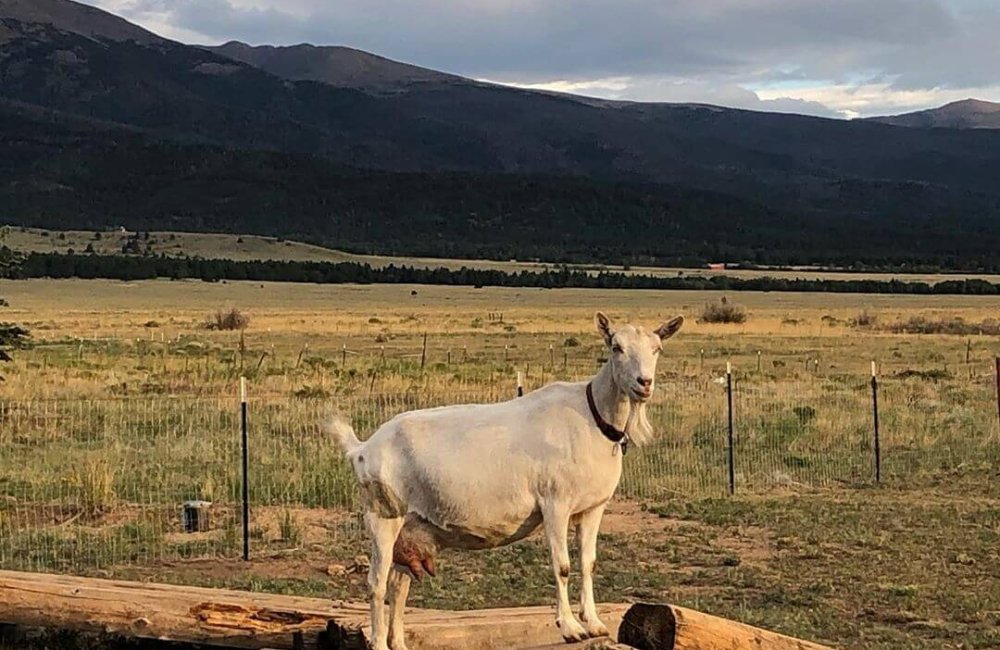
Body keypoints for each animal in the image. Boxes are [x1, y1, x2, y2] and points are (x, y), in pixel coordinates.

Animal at [328, 312, 683, 650]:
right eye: (616, 347)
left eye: (658, 349)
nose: (644, 382)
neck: (594, 417)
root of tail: (362, 448)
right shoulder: (555, 503)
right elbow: (563, 565)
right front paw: (570, 628)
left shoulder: (593, 507)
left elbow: (588, 563)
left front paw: (594, 623)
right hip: (383, 515)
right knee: (376, 584)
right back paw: (378, 643)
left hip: (411, 528)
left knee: (398, 587)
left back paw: (399, 642)